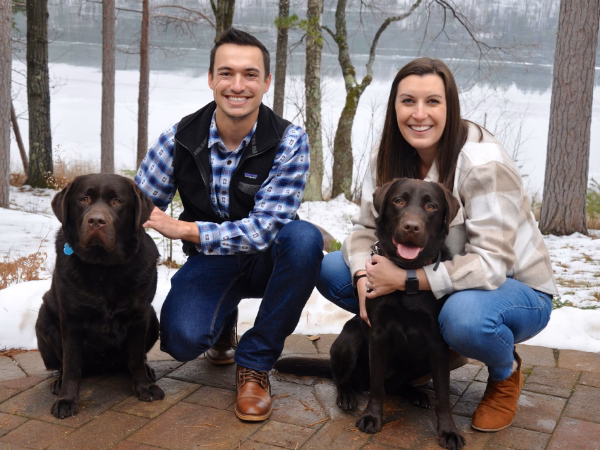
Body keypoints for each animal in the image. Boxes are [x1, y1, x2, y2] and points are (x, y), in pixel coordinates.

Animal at [36, 173, 165, 418]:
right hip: (44, 319)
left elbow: (135, 357)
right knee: (64, 364)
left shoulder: (140, 314)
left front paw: (144, 386)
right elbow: (71, 363)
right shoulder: (71, 318)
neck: (104, 267)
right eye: (84, 199)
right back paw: (58, 382)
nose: (96, 221)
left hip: (154, 317)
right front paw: (66, 399)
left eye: (117, 201)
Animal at [274, 178, 466, 448]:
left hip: (419, 360)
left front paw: (448, 431)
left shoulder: (437, 344)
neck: (406, 275)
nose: (411, 227)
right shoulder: (378, 335)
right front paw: (372, 417)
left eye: (431, 206)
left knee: (397, 385)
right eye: (399, 201)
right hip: (349, 340)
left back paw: (415, 393)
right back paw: (347, 395)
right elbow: (376, 387)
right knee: (342, 378)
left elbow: (443, 394)